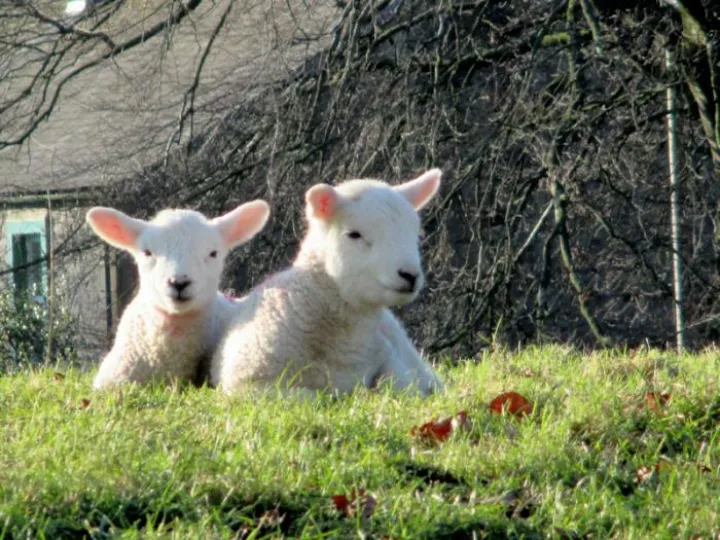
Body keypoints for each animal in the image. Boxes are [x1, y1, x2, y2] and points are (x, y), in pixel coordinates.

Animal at [211, 169, 443, 397]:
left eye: (415, 232)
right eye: (354, 234)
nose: (410, 275)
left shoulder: (390, 360)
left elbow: (398, 385)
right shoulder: (247, 384)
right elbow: (309, 397)